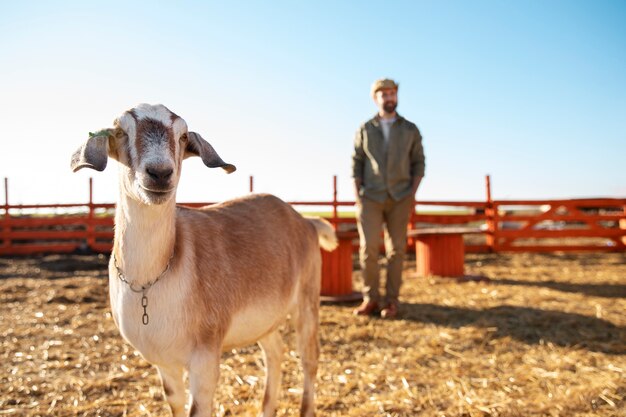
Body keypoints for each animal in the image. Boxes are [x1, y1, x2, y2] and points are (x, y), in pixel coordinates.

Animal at [70, 101, 336, 416]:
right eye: (121, 131)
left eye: (183, 135)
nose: (160, 173)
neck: (151, 280)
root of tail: (305, 221)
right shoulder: (164, 362)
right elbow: (175, 403)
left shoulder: (205, 358)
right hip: (266, 319)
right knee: (276, 351)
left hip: (307, 299)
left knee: (310, 359)